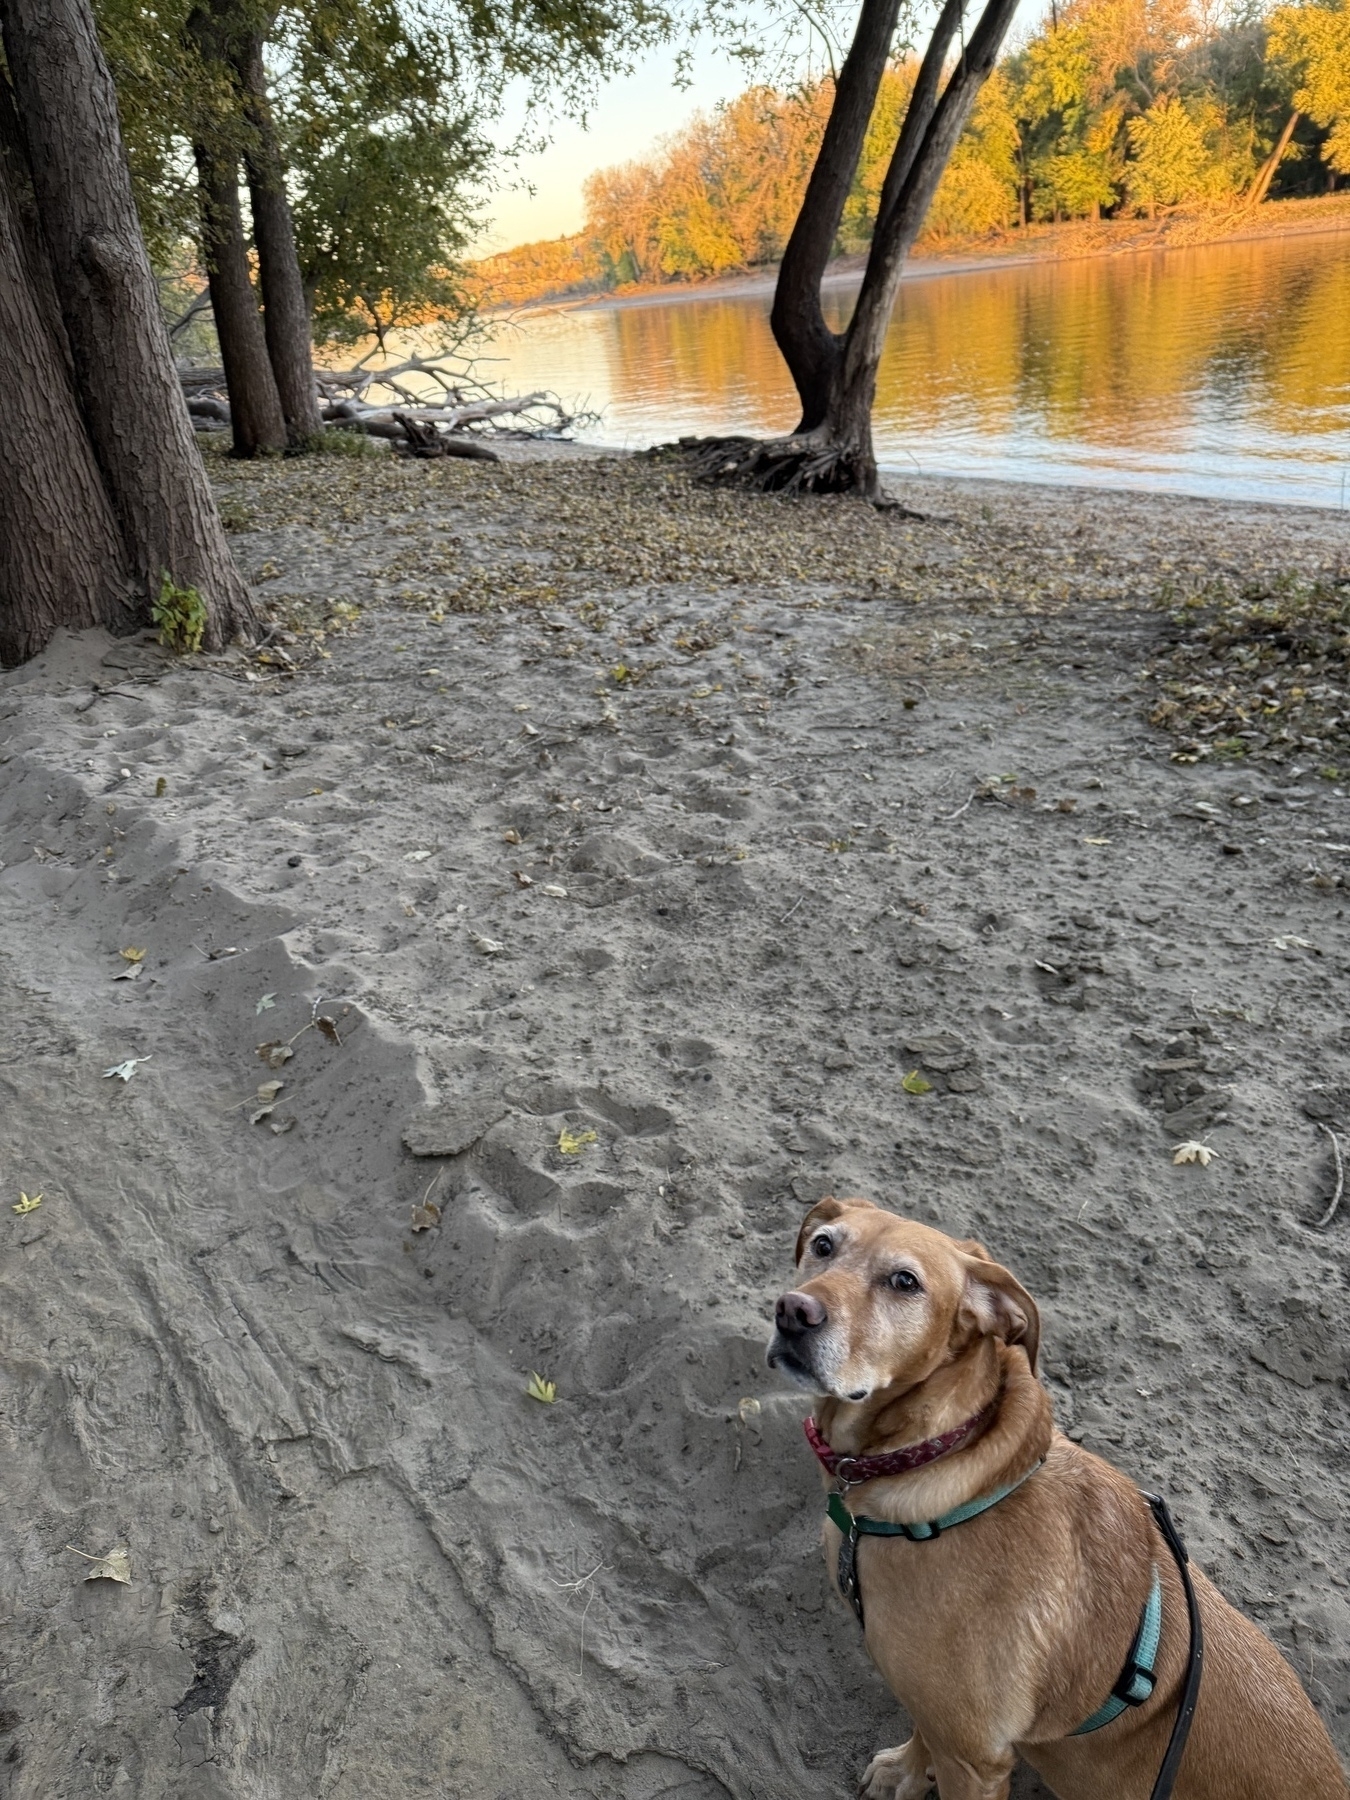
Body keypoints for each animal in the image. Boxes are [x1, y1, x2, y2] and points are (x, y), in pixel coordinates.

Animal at [766, 1195, 1346, 1800]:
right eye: (824, 1245)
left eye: (905, 1281)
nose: (793, 1312)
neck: (942, 1461)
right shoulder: (935, 1703)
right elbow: (924, 1728)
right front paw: (906, 1770)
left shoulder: (974, 1757)